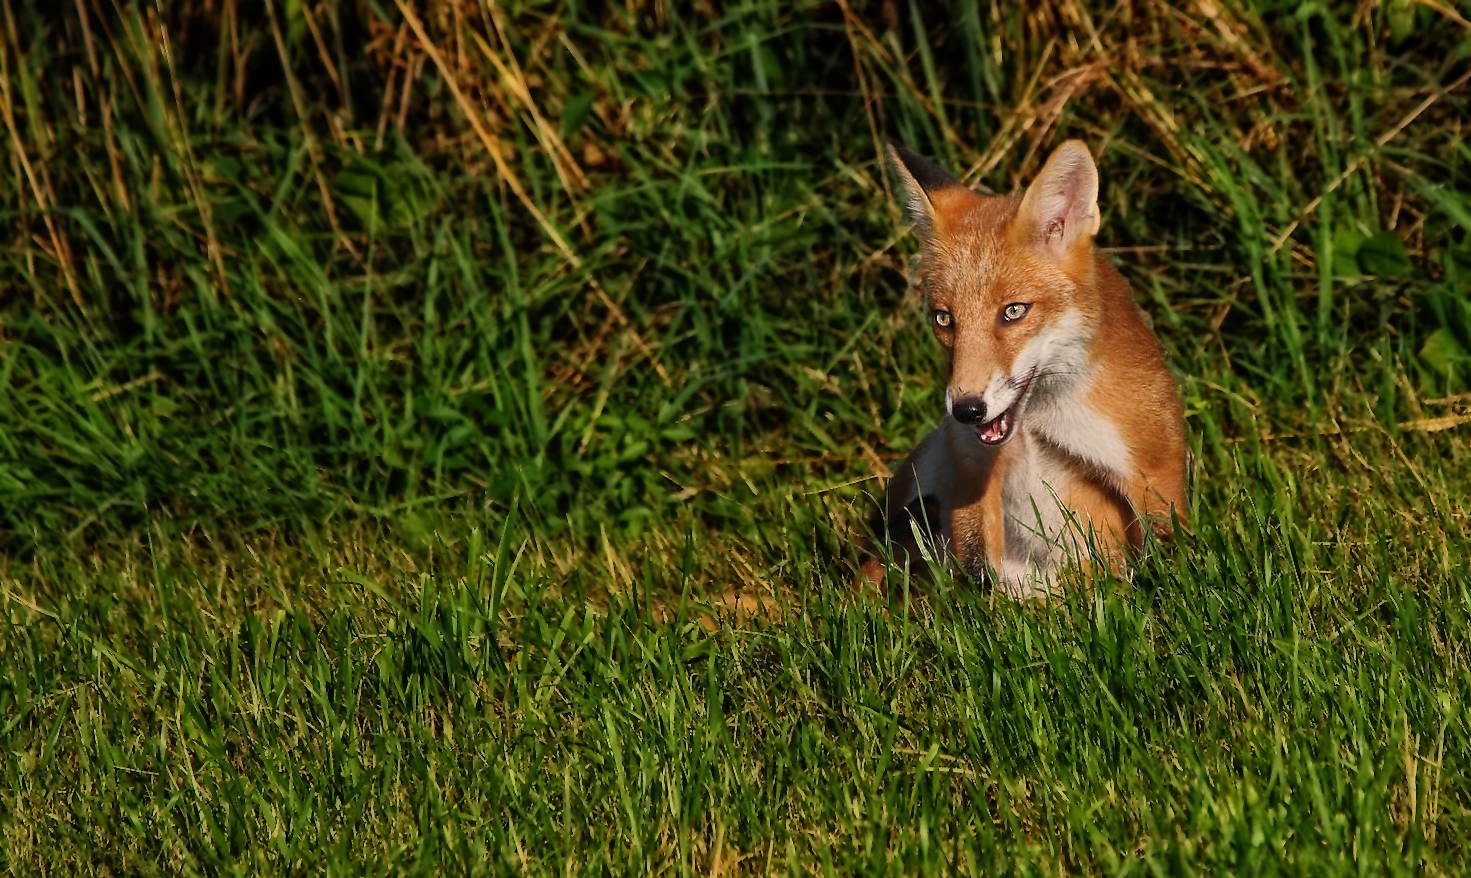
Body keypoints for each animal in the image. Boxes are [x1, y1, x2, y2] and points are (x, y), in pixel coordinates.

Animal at [859, 140, 1188, 600]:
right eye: (945, 319)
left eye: (1014, 312)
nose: (967, 409)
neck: (1038, 426)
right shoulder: (971, 470)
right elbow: (979, 574)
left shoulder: (1150, 465)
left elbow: (1165, 555)